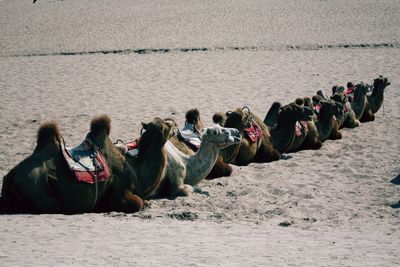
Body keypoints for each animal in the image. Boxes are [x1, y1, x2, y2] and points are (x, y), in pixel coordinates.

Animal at [0, 116, 172, 215]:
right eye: (166, 126)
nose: (173, 123)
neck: (136, 171)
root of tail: (9, 177)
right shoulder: (119, 192)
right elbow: (138, 202)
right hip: (38, 188)